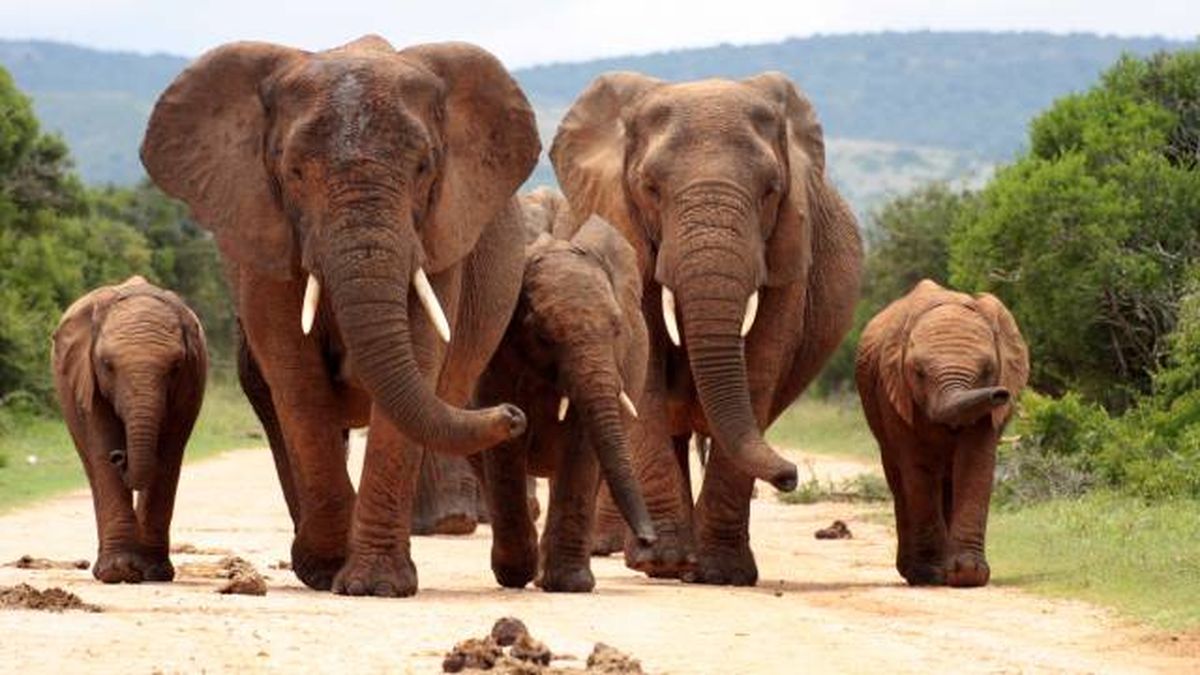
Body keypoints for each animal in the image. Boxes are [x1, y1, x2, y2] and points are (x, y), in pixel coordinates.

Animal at [51, 275, 208, 584]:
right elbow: (101, 446)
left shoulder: (190, 383)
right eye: (107, 365)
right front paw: (119, 572)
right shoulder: (86, 377)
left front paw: (154, 572)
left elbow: (169, 454)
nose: (120, 456)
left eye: (176, 367)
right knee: (91, 465)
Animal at [141, 36, 540, 597]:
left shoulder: (438, 234)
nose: (514, 415)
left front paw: (375, 585)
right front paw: (329, 570)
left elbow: (419, 360)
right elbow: (296, 377)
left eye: (424, 168)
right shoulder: (264, 235)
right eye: (293, 172)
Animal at [476, 187, 656, 592]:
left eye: (617, 327)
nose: (648, 540)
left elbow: (582, 444)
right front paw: (516, 575)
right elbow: (505, 445)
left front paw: (569, 584)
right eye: (542, 335)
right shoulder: (496, 353)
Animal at [549, 71, 863, 585]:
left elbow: (760, 363)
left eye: (771, 190)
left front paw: (722, 573)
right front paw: (664, 563)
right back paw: (657, 559)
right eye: (650, 188)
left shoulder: (789, 249)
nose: (791, 476)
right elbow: (647, 366)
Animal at [855, 279, 1029, 587]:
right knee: (900, 479)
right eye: (919, 372)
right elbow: (918, 467)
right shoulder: (894, 393)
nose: (1000, 394)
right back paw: (915, 572)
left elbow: (975, 462)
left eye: (988, 370)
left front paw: (967, 574)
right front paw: (931, 574)